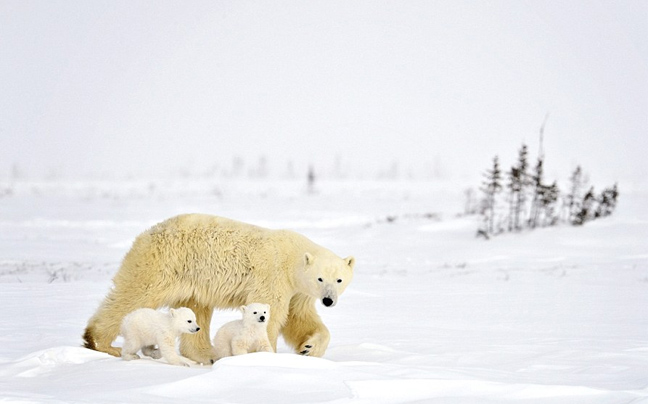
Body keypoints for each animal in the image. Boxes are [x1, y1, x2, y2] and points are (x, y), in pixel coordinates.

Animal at [83, 213, 356, 364]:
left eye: (339, 280)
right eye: (320, 278)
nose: (328, 300)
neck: (293, 258)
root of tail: (146, 234)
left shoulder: (298, 292)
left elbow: (300, 319)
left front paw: (309, 348)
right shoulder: (274, 276)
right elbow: (272, 313)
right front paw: (264, 354)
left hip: (191, 279)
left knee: (197, 312)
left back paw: (207, 355)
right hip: (162, 263)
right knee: (133, 294)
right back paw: (100, 342)